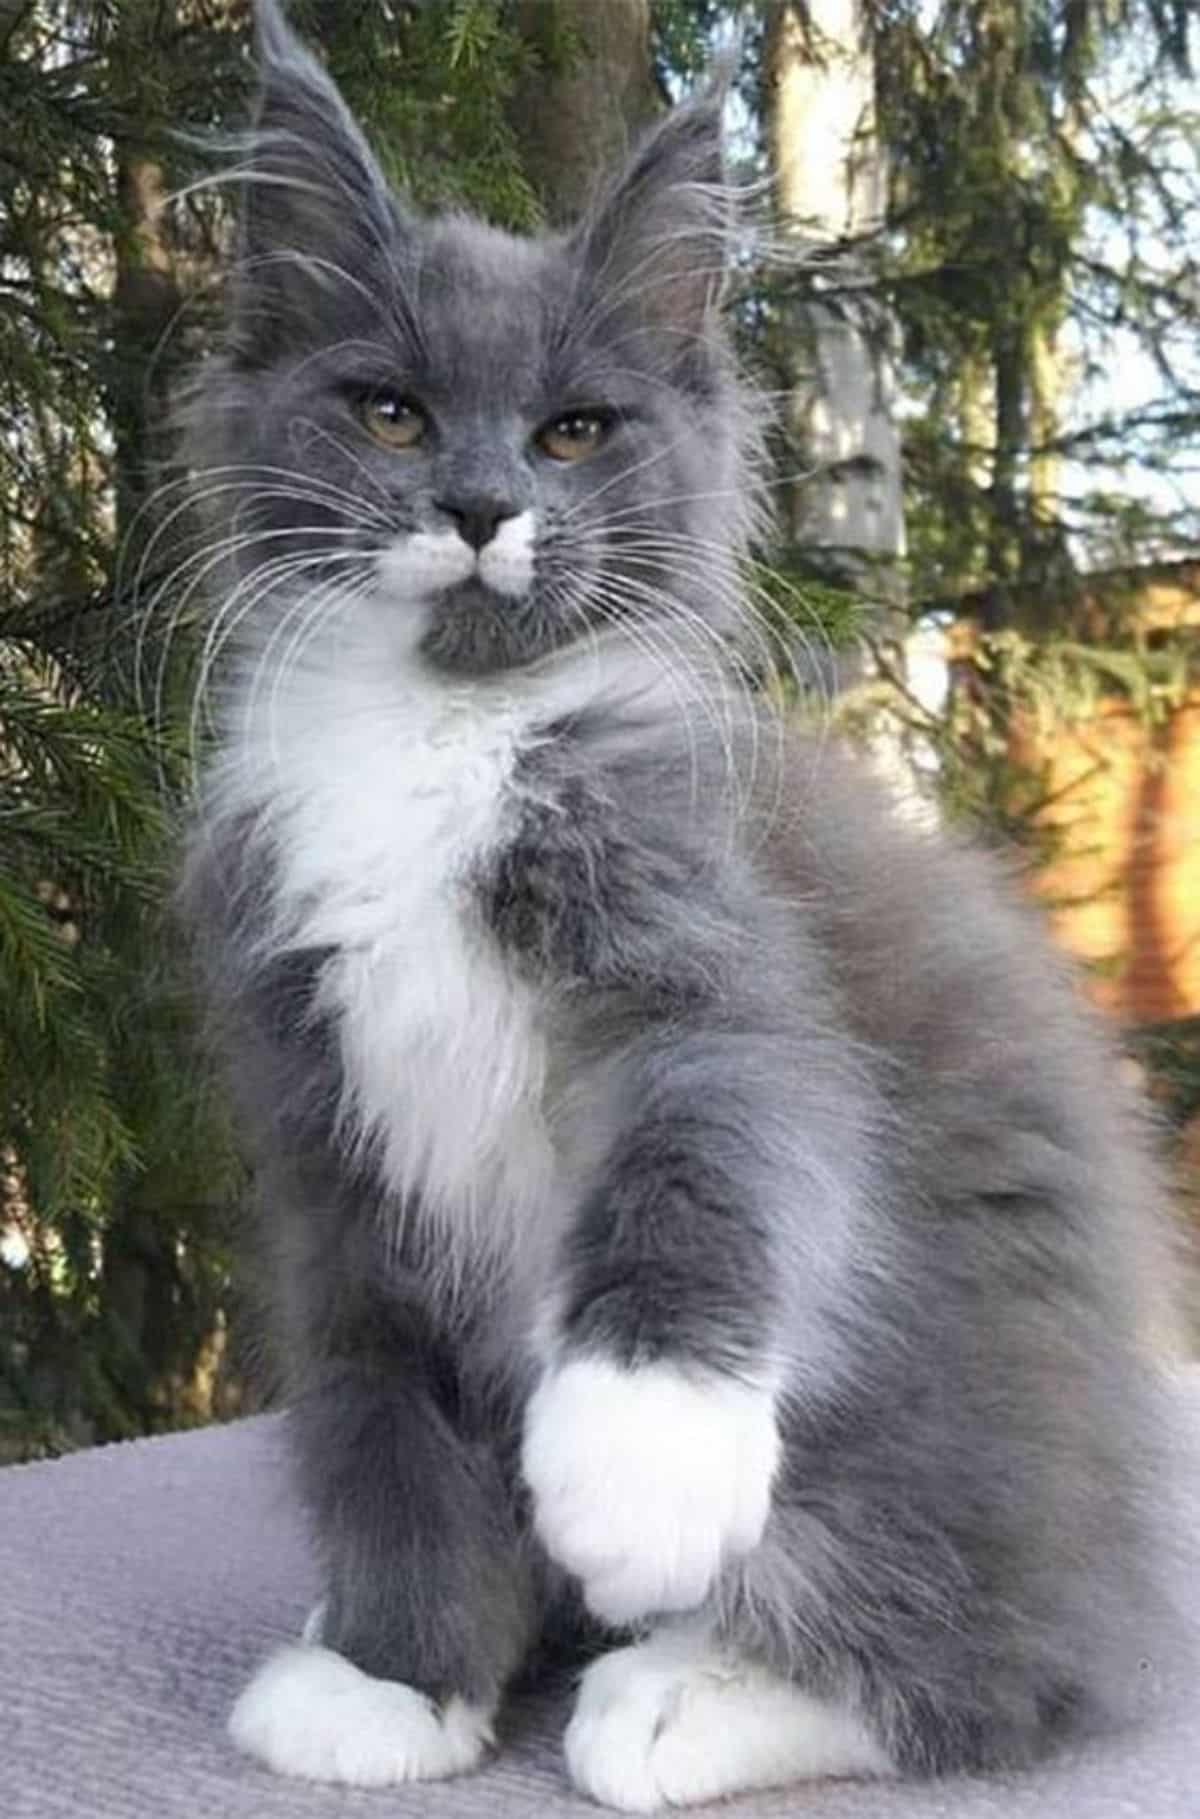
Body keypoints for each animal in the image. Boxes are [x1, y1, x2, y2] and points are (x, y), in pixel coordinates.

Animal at [178, 0, 1178, 1804]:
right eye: (392, 415)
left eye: (575, 430)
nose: (481, 506)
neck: (444, 736)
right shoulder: (328, 1141)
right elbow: (381, 1416)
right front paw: (394, 1671)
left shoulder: (711, 953)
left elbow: (707, 1160)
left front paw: (635, 1466)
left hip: (955, 1418)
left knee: (999, 1656)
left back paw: (682, 1687)